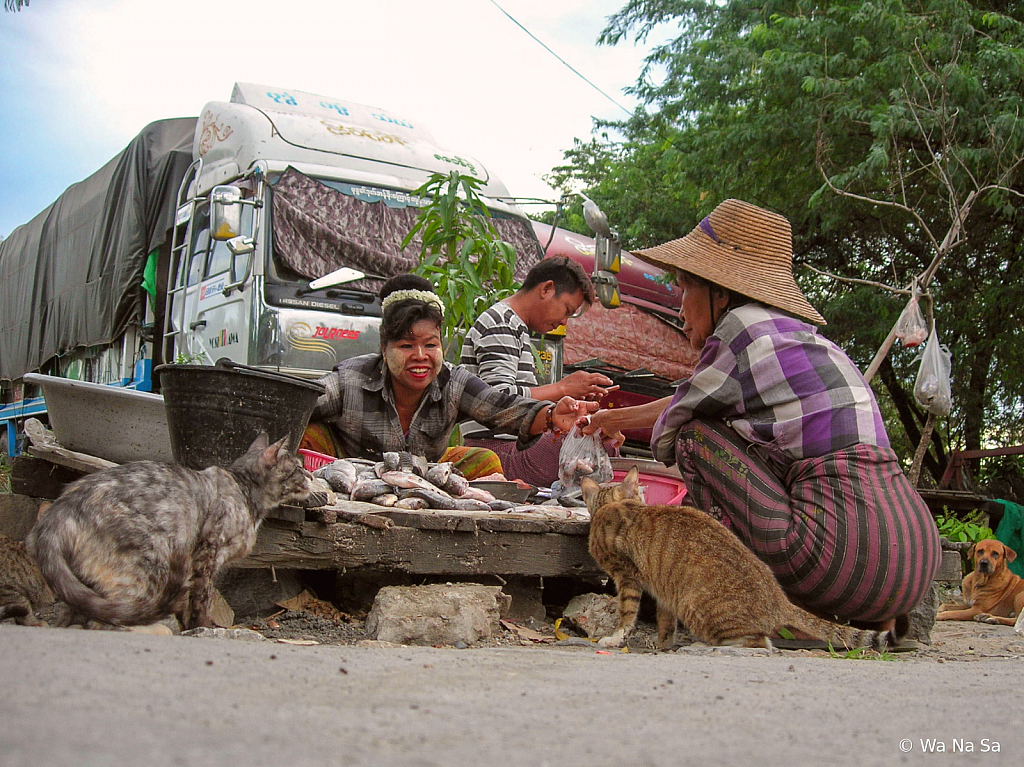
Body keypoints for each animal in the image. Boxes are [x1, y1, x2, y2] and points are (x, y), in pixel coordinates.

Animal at [28, 434, 315, 630]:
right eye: (298, 469)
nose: (311, 478)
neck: (245, 492)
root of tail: (61, 509)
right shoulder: (208, 554)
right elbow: (202, 597)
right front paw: (202, 628)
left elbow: (188, 601)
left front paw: (188, 627)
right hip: (148, 565)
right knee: (108, 619)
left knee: (77, 615)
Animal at [581, 462, 909, 651]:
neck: (617, 505)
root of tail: (780, 601)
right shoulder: (664, 592)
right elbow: (665, 621)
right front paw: (662, 644)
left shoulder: (627, 577)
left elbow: (627, 613)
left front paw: (615, 638)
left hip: (695, 606)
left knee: (761, 641)